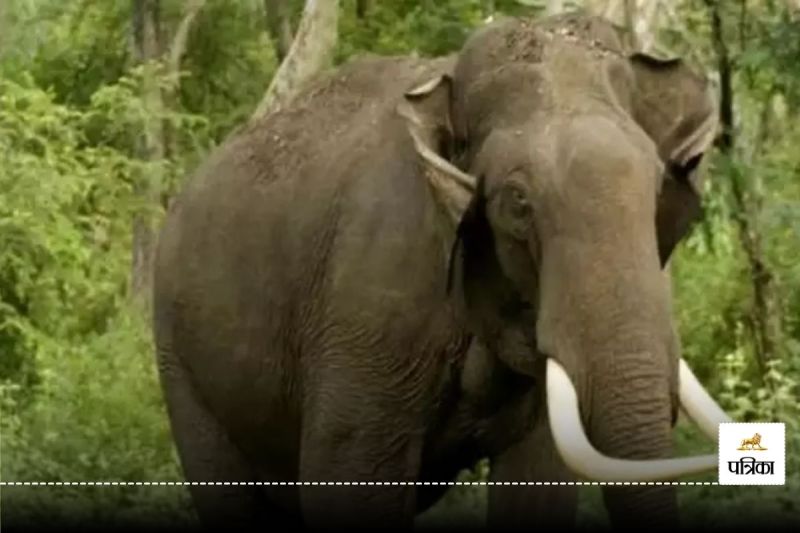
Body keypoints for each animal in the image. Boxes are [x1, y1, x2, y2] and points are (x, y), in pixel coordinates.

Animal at [153, 12, 733, 531]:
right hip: (181, 363)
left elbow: (539, 478)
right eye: (517, 201)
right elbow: (348, 479)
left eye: (656, 185)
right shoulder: (368, 300)